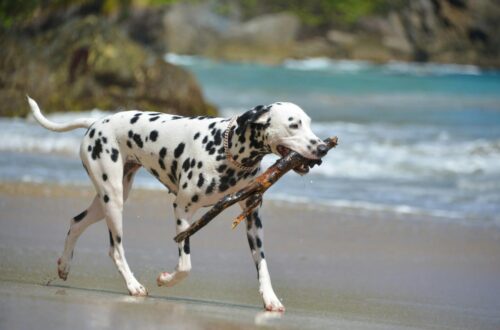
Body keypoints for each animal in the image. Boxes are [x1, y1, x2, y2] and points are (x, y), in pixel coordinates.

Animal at [27, 96, 326, 312]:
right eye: (294, 124)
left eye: (309, 123)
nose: (323, 147)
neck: (228, 151)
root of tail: (97, 122)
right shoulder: (182, 210)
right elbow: (185, 265)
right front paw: (165, 279)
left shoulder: (253, 219)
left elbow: (262, 265)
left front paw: (270, 299)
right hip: (113, 199)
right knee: (115, 249)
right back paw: (133, 285)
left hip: (109, 199)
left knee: (76, 222)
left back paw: (64, 265)